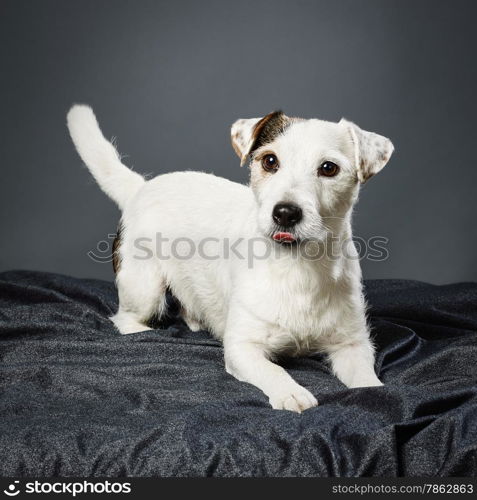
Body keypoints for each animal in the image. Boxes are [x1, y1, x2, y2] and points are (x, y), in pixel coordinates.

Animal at [68, 103, 394, 412]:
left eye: (328, 168)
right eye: (270, 161)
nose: (285, 213)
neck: (298, 268)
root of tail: (143, 186)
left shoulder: (353, 344)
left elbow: (366, 380)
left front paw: (375, 391)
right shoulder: (242, 347)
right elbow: (273, 370)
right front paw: (291, 392)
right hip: (144, 287)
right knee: (124, 318)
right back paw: (142, 332)